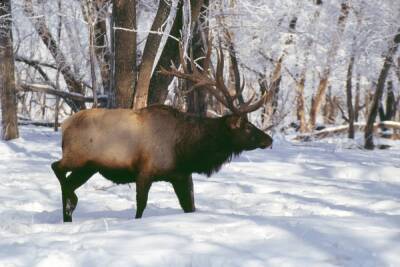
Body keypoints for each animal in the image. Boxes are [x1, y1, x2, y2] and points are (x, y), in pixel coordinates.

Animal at [51, 44, 274, 224]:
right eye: (246, 126)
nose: (269, 139)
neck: (186, 149)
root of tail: (65, 125)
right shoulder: (145, 171)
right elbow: (140, 207)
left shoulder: (181, 176)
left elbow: (189, 207)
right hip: (77, 157)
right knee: (56, 167)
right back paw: (71, 202)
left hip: (89, 167)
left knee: (68, 181)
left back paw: (68, 214)